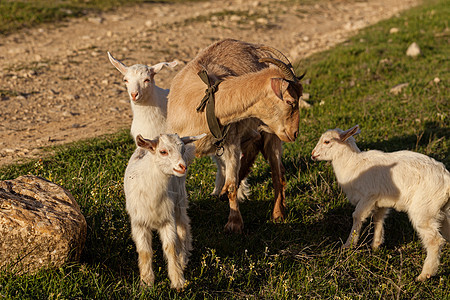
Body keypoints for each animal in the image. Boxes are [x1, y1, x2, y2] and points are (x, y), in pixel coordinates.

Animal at [167, 38, 304, 233]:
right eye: (290, 101)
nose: (294, 133)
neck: (206, 104)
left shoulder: (231, 142)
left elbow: (232, 183)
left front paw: (234, 223)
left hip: (273, 134)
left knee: (278, 172)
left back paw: (278, 214)